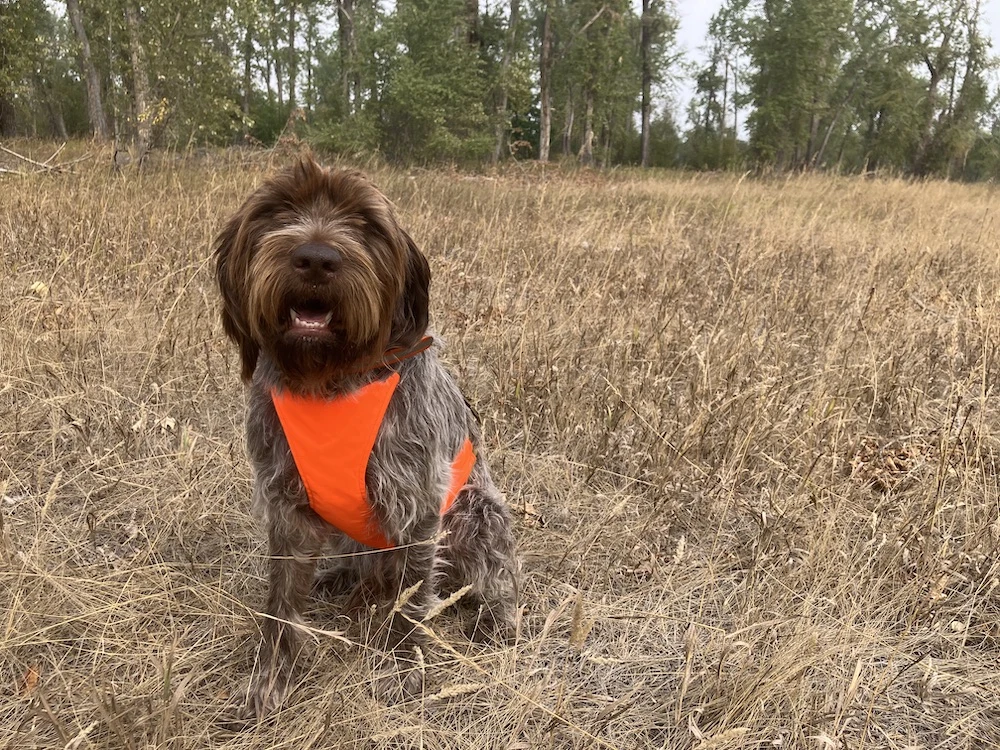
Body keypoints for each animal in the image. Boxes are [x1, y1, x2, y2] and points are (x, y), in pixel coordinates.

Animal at [214, 157, 520, 716]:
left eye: (364, 224)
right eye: (278, 211)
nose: (316, 259)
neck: (330, 381)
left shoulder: (417, 507)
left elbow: (411, 599)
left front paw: (404, 666)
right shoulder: (285, 507)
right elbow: (280, 606)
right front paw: (271, 679)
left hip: (477, 512)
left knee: (497, 579)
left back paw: (497, 619)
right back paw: (337, 578)